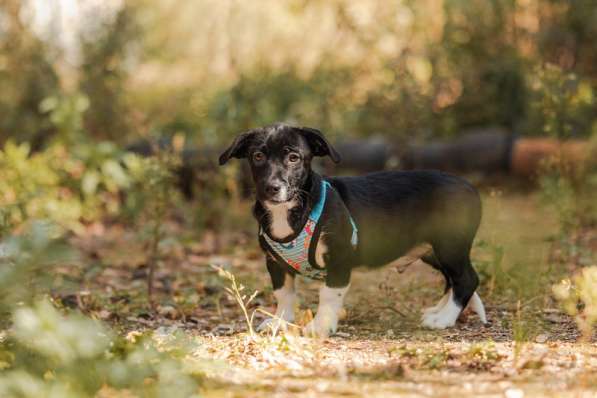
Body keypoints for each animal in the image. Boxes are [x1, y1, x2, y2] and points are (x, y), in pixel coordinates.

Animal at [217, 123, 486, 338]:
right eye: (258, 156)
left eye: (294, 158)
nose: (272, 188)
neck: (291, 210)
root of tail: (469, 187)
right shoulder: (275, 263)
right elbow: (283, 294)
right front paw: (281, 322)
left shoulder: (339, 258)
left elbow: (328, 295)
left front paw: (320, 327)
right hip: (433, 251)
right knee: (453, 280)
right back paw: (440, 310)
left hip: (449, 245)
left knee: (467, 279)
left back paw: (444, 319)